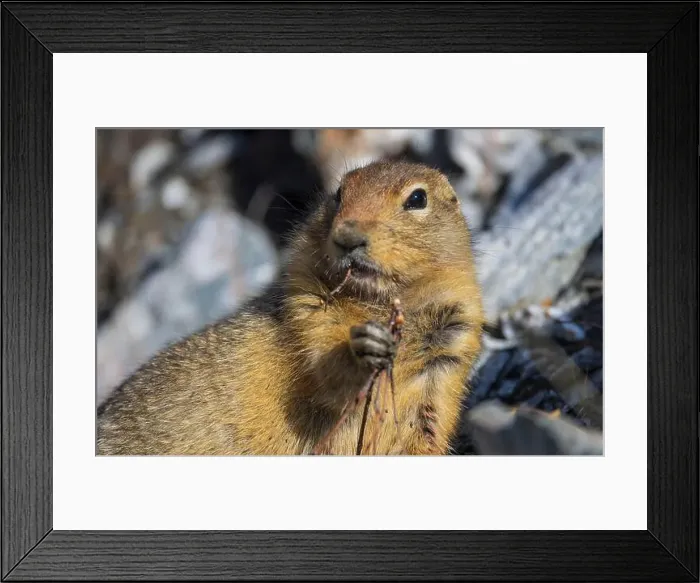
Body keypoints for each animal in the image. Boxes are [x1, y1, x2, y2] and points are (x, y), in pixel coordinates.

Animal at [97, 160, 484, 455]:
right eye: (338, 193)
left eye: (417, 198)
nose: (347, 238)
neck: (382, 301)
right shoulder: (308, 314)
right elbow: (328, 374)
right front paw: (365, 347)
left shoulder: (450, 356)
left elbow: (429, 426)